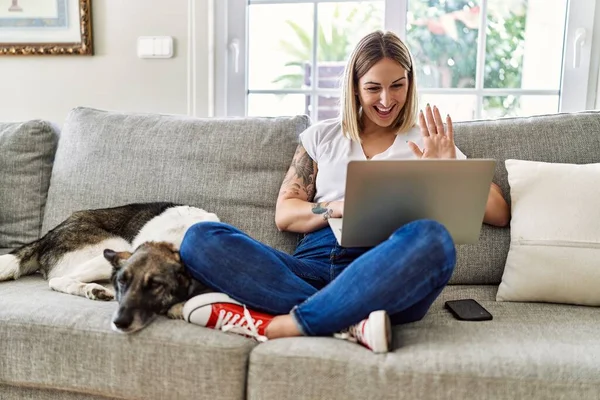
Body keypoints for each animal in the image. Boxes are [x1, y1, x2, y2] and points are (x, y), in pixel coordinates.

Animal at [0, 202, 216, 332]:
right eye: (123, 284)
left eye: (156, 286)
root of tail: (48, 235)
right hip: (114, 248)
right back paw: (92, 289)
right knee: (58, 280)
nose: (121, 321)